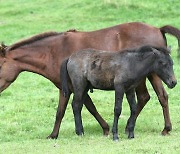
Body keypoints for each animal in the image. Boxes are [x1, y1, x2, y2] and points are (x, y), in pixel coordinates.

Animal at [0, 22, 179, 138]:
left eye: (1, 64)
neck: (54, 51)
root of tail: (157, 29)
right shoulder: (71, 88)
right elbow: (67, 110)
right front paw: (54, 134)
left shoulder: (73, 87)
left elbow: (82, 108)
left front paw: (105, 129)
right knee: (146, 98)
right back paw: (131, 127)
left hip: (153, 75)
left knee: (160, 97)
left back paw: (164, 129)